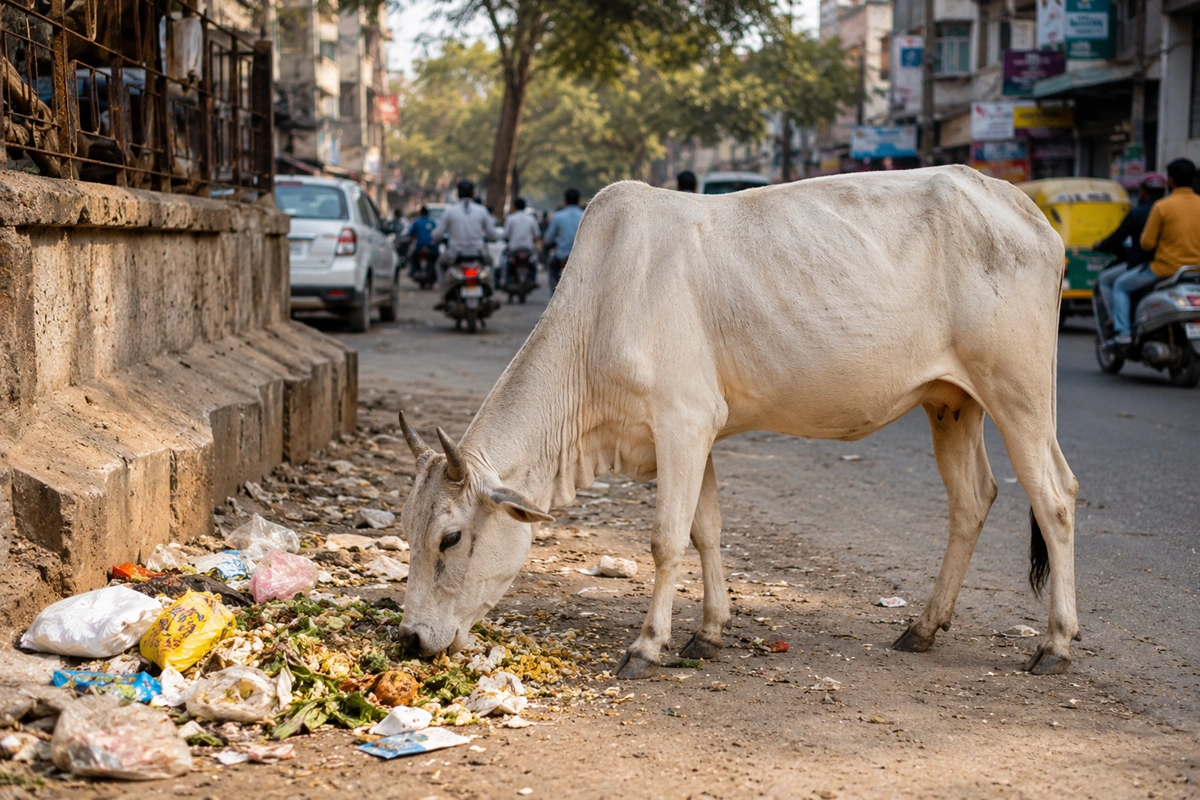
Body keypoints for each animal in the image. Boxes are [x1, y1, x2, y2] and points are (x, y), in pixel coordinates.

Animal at [395, 165, 1080, 679]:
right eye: (407, 532)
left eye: (450, 538)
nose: (410, 641)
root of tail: (1028, 212)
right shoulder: (697, 435)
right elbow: (706, 532)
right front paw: (709, 634)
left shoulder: (682, 423)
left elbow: (666, 540)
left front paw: (647, 646)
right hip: (951, 402)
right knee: (973, 499)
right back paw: (924, 627)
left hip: (1018, 392)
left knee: (1055, 498)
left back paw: (1054, 644)